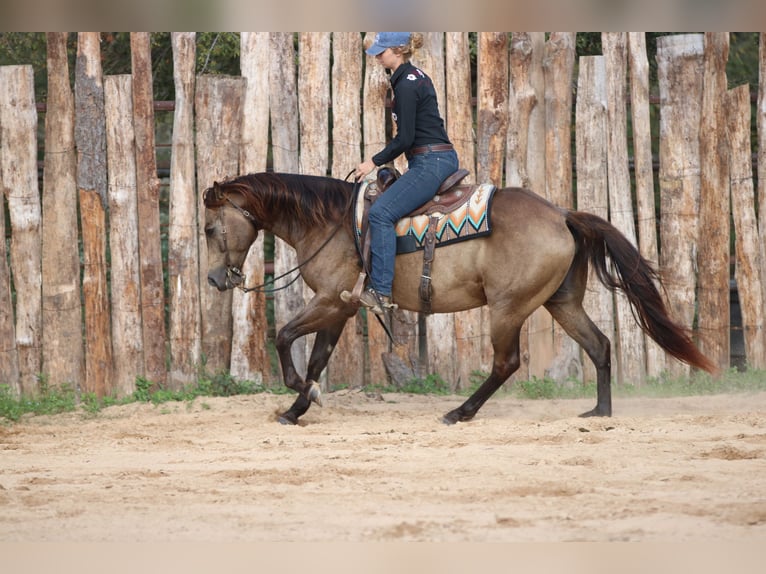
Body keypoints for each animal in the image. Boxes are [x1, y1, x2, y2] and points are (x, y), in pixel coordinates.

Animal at [203, 172, 717, 425]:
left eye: (209, 228)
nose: (213, 279)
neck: (330, 220)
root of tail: (562, 215)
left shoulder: (333, 301)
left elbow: (285, 338)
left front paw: (299, 394)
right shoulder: (341, 308)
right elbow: (316, 360)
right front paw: (297, 409)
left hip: (508, 308)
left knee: (506, 363)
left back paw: (460, 412)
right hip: (561, 303)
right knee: (600, 346)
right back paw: (600, 412)